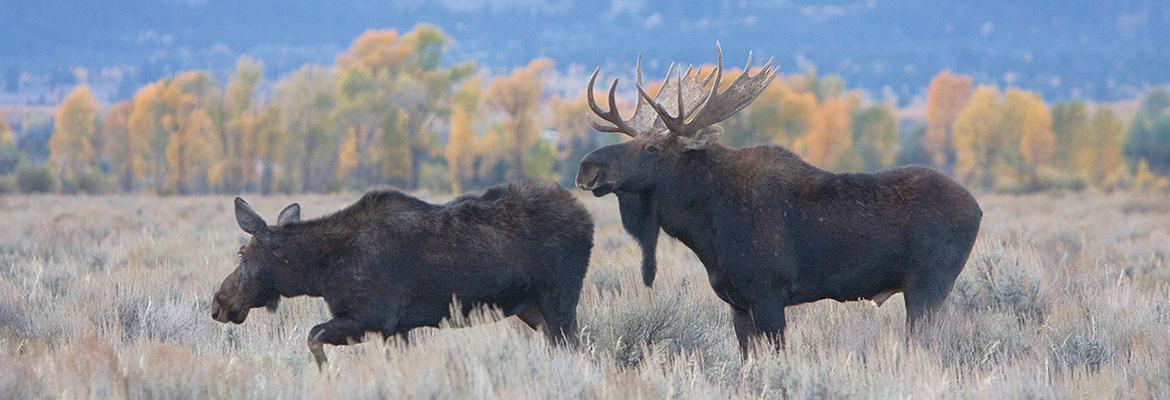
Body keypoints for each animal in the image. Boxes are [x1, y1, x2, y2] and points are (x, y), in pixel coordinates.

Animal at [208, 180, 594, 369]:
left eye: (241, 253)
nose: (219, 302)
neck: (319, 274)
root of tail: (587, 219)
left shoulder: (374, 317)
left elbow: (313, 336)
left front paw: (327, 376)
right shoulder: (397, 329)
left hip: (559, 300)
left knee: (573, 347)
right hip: (531, 308)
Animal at [580, 45, 982, 355]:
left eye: (651, 148)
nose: (587, 166)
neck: (708, 229)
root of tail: (977, 208)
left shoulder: (768, 293)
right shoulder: (737, 303)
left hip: (929, 284)